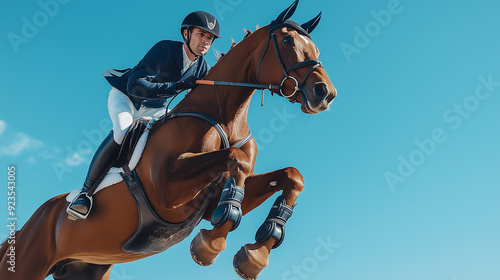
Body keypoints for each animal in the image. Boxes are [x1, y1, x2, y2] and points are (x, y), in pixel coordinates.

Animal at [0, 1, 336, 278]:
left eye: (317, 49)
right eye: (287, 40)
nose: (325, 93)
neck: (224, 119)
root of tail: (26, 227)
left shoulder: (207, 199)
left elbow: (291, 176)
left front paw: (256, 254)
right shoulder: (168, 191)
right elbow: (236, 161)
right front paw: (210, 246)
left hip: (85, 267)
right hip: (26, 264)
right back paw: (80, 202)